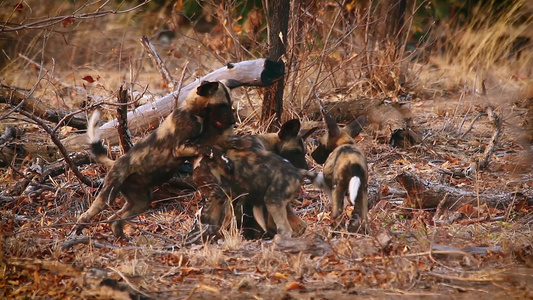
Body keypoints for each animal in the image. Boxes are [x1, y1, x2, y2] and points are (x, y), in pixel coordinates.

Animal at [72, 80, 235, 239]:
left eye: (230, 104)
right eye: (222, 105)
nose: (233, 121)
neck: (193, 111)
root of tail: (116, 162)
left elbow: (210, 148)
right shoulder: (180, 148)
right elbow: (211, 149)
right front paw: (226, 161)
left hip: (141, 202)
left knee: (114, 220)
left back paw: (123, 240)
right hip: (108, 197)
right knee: (86, 215)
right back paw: (76, 232)